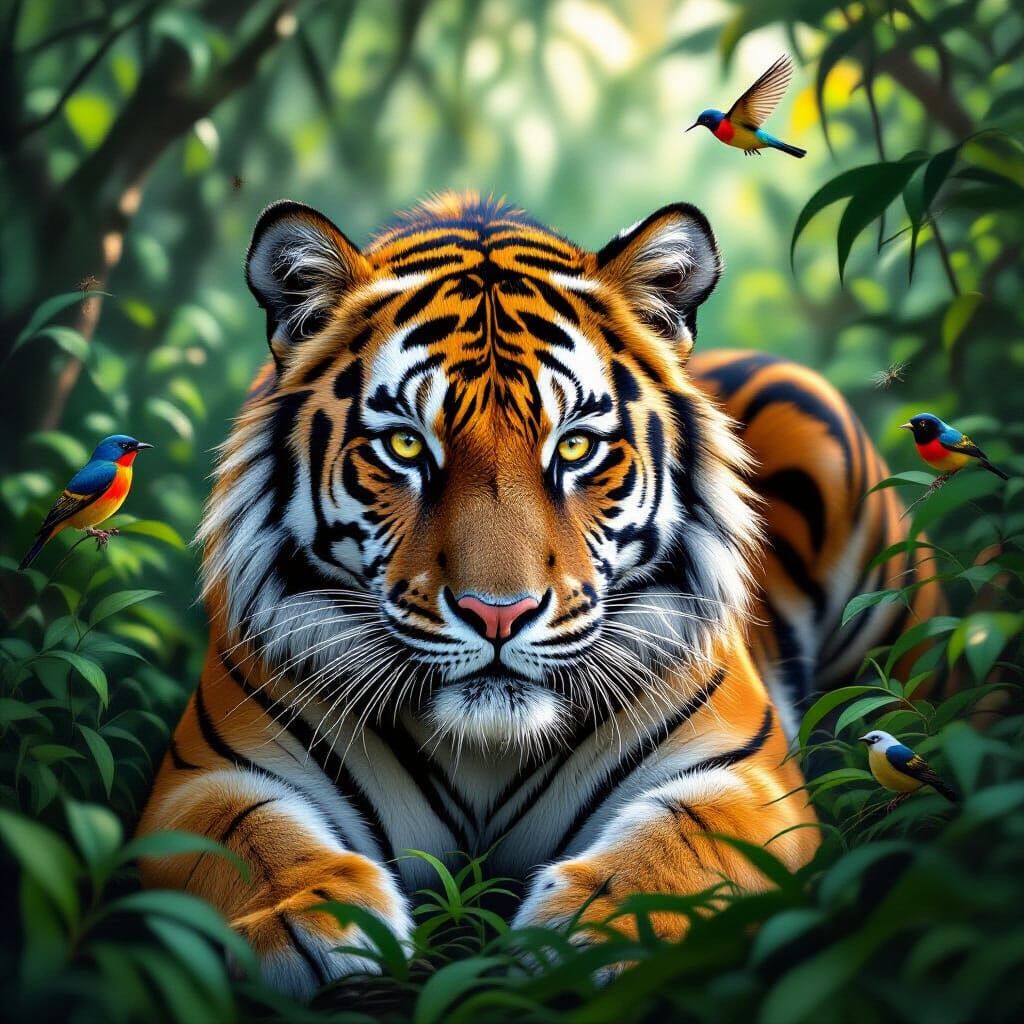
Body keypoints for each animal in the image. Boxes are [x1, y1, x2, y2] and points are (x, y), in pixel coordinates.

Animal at [137, 192, 939, 998]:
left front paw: (592, 928)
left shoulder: (747, 775)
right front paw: (311, 921)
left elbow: (685, 838)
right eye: (405, 446)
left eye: (575, 447)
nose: (500, 614)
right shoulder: (202, 776)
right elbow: (249, 837)